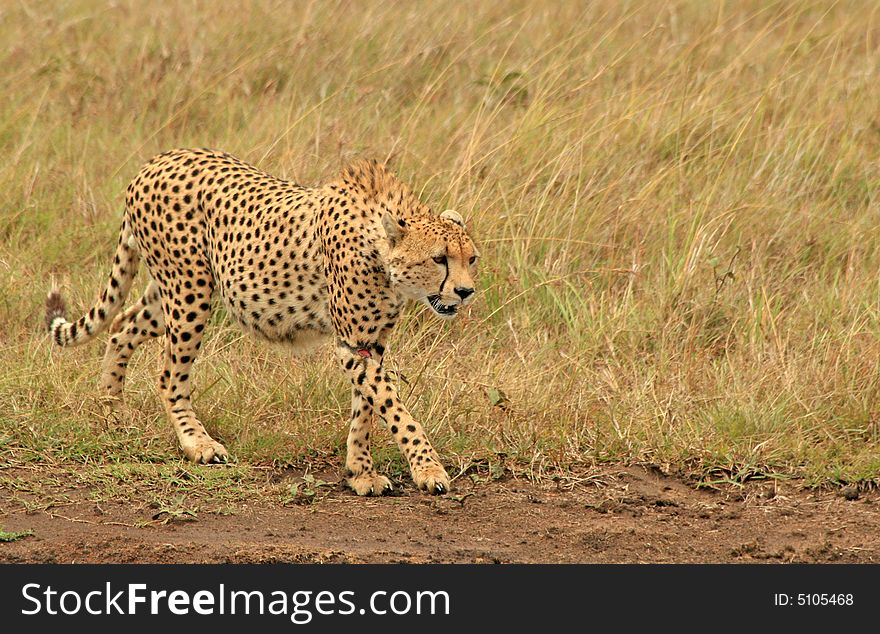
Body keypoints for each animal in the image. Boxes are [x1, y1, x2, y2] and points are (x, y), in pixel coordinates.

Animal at [46, 149, 482, 494]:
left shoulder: (369, 343)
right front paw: (428, 469)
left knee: (121, 327)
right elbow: (394, 408)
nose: (465, 292)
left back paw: (112, 410)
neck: (382, 254)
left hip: (171, 290)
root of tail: (161, 158)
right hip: (191, 292)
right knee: (169, 373)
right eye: (439, 259)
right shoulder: (351, 343)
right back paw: (197, 443)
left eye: (471, 258)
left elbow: (368, 408)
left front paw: (360, 472)